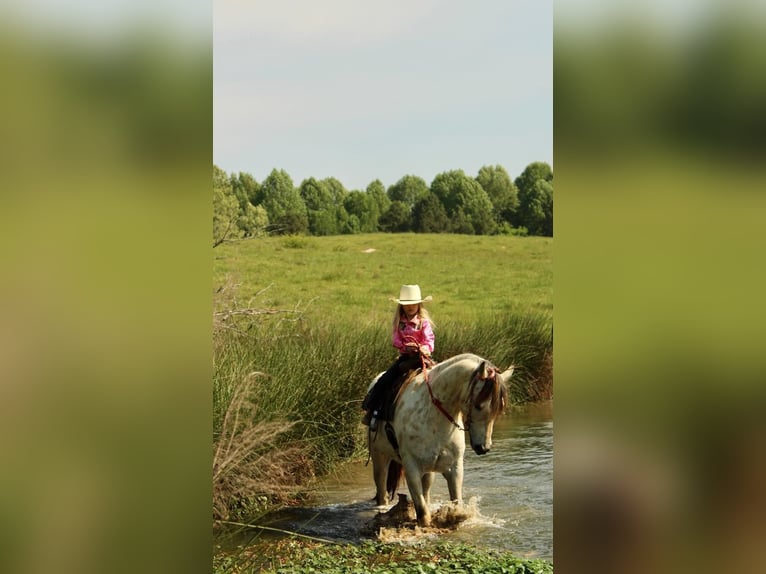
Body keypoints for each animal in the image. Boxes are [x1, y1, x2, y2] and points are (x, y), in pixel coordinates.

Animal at [368, 354, 512, 528]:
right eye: (479, 405)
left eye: (499, 409)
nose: (483, 447)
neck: (434, 417)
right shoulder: (411, 468)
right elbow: (423, 514)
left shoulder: (455, 468)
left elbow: (456, 504)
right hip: (380, 458)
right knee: (382, 491)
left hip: (428, 470)